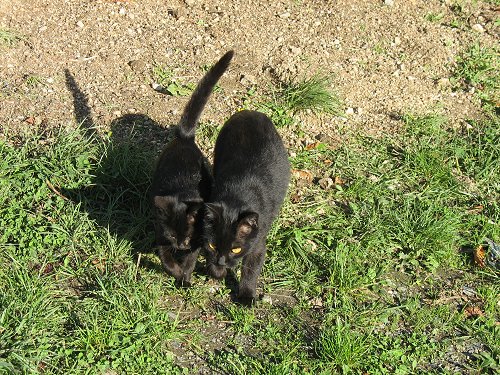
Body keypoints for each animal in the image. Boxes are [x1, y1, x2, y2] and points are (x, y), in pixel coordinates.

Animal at [150, 50, 234, 284]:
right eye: (172, 235)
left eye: (187, 236)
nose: (180, 245)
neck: (181, 194)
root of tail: (185, 137)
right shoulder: (160, 231)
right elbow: (166, 260)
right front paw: (176, 272)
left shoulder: (200, 238)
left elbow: (191, 259)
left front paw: (185, 277)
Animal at [202, 110, 290, 306]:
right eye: (213, 245)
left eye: (235, 249)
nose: (222, 261)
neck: (238, 197)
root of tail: (250, 112)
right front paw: (218, 272)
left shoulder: (257, 243)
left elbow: (251, 269)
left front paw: (246, 296)